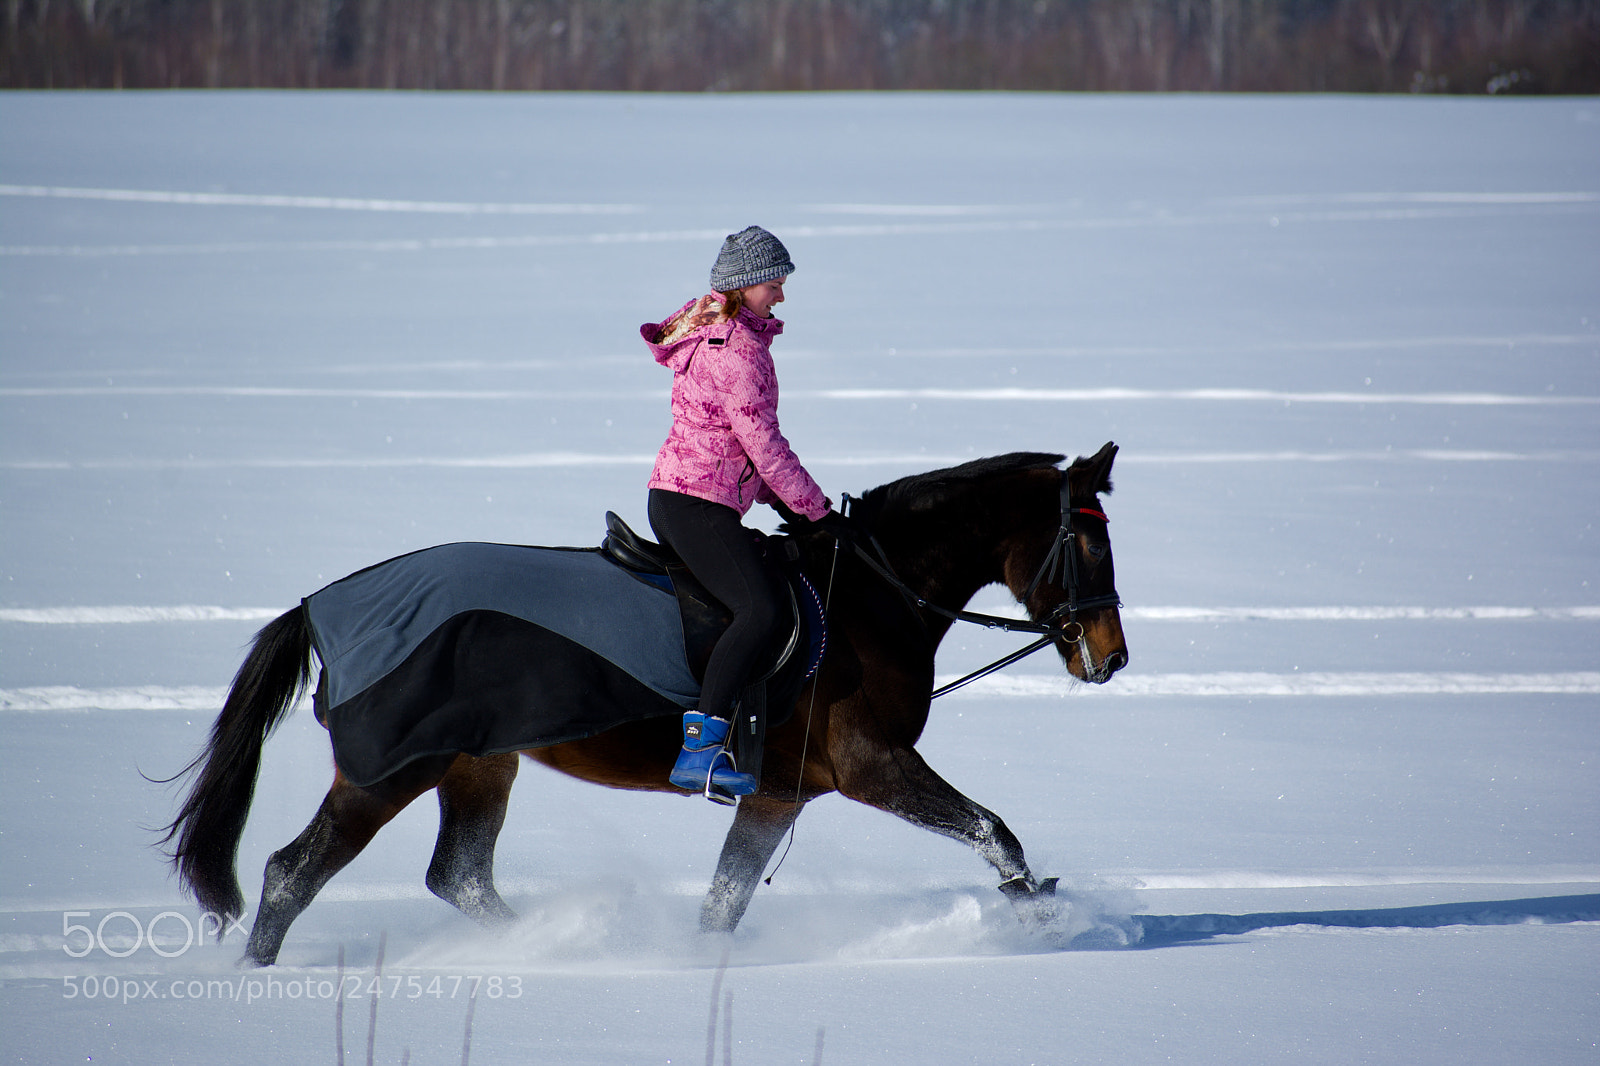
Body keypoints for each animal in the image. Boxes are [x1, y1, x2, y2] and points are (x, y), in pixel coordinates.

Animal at [159, 444, 1127, 965]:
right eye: (1087, 543)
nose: (1112, 657)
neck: (871, 595)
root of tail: (326, 604)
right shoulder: (874, 767)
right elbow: (993, 831)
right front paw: (1042, 916)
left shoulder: (779, 793)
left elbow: (723, 902)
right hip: (388, 769)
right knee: (291, 873)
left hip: (480, 765)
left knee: (459, 876)